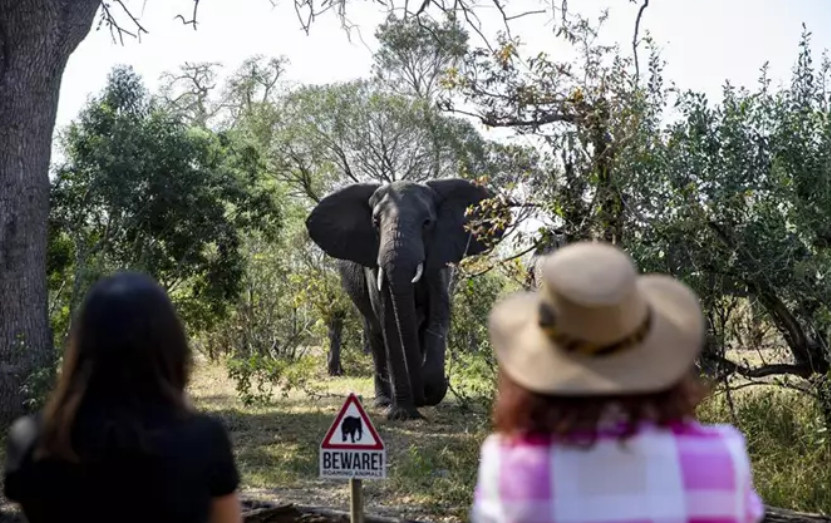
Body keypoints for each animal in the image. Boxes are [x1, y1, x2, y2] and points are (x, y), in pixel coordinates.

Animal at [306, 180, 500, 422]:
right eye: (375, 223)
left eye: (427, 223)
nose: (422, 396)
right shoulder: (374, 266)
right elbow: (389, 321)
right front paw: (402, 414)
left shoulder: (439, 260)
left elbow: (439, 313)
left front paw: (430, 385)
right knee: (375, 332)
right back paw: (384, 401)